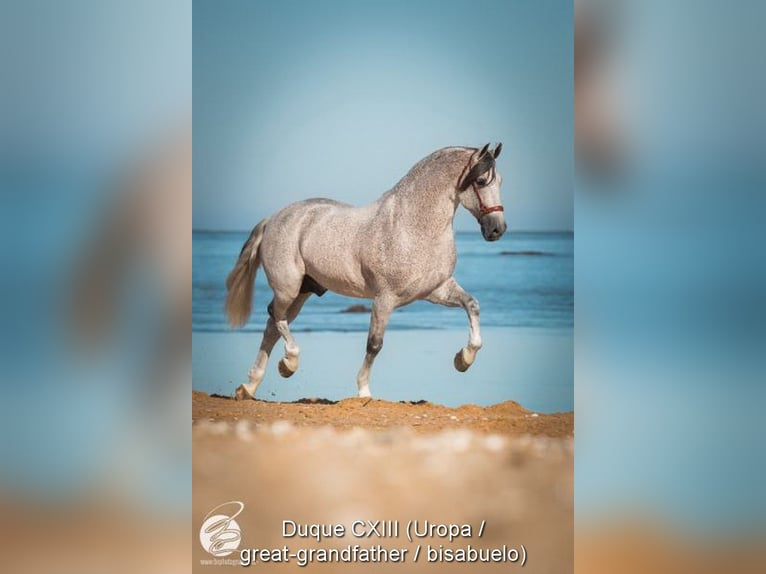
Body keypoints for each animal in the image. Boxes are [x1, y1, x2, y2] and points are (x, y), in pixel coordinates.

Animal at [225, 143, 506, 400]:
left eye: (500, 182)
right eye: (481, 181)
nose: (497, 229)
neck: (413, 227)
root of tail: (273, 218)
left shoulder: (436, 290)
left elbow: (472, 305)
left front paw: (463, 359)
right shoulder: (385, 298)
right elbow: (374, 344)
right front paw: (363, 392)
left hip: (302, 292)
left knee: (272, 327)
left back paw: (250, 386)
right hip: (288, 287)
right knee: (275, 316)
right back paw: (288, 364)